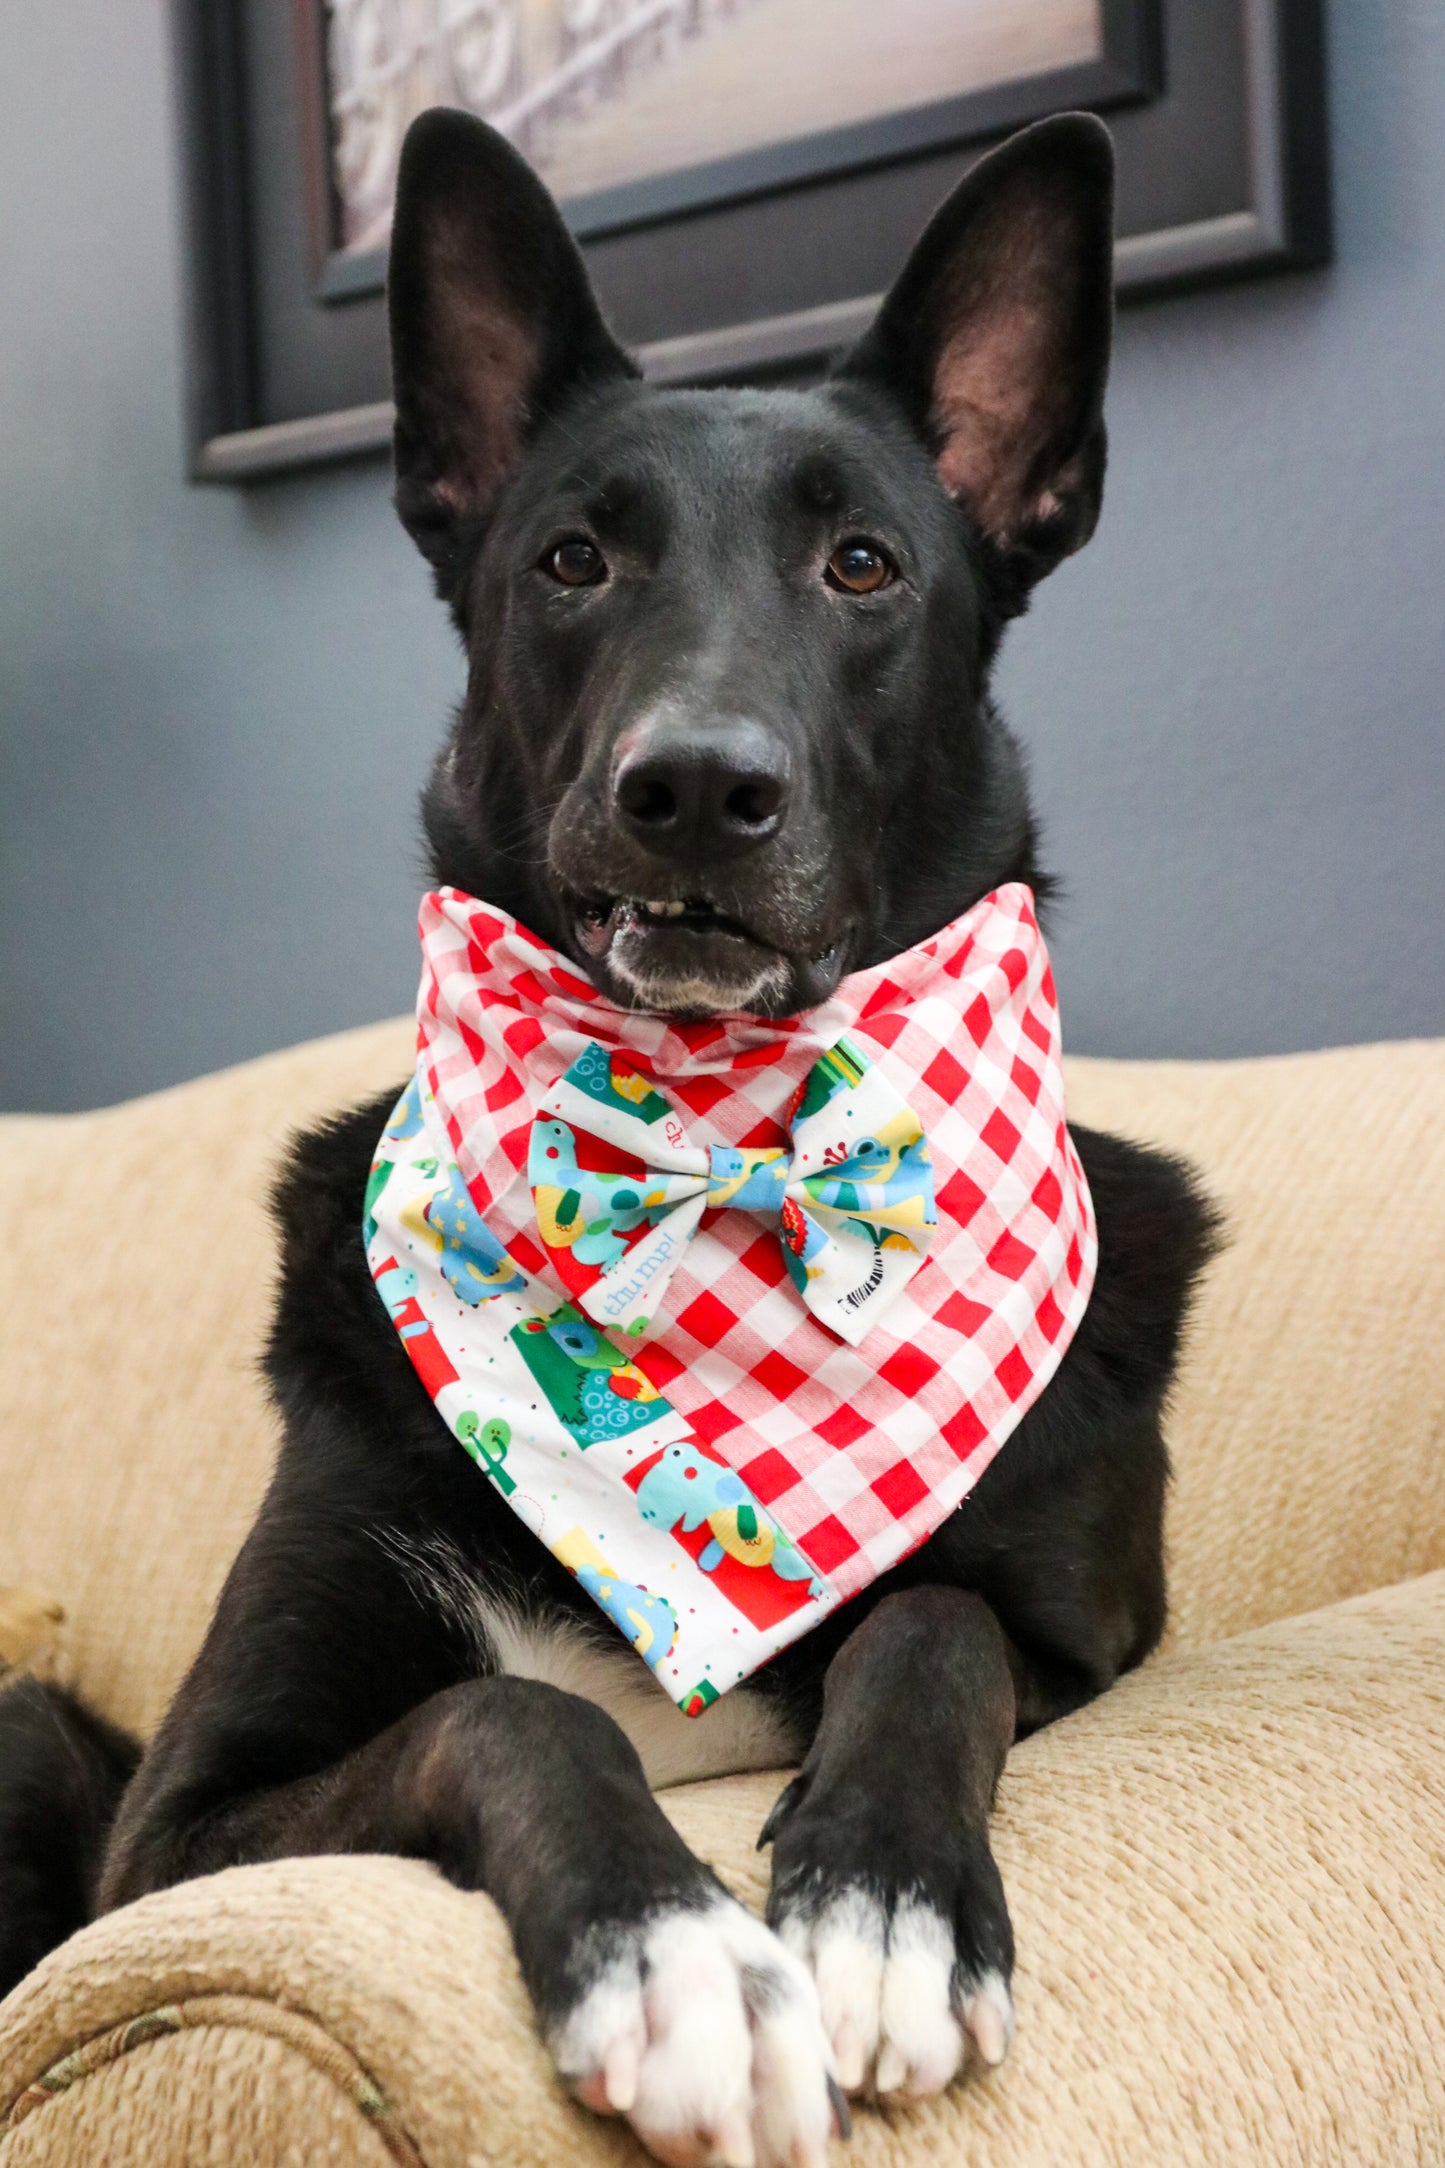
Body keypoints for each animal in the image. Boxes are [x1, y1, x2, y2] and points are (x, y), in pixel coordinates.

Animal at [5, 114, 1213, 2168]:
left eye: (863, 563)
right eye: (571, 558)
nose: (698, 788)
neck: (701, 1157)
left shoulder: (1095, 1634)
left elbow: (932, 1626)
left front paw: (882, 1908)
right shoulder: (172, 1837)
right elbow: (513, 1715)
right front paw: (679, 1953)